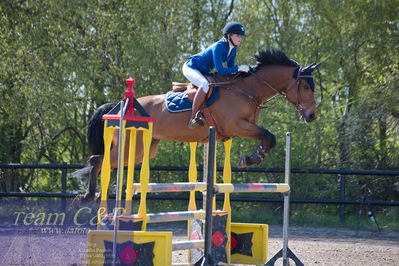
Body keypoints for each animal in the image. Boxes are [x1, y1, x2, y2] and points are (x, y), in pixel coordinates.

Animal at [71, 49, 322, 202]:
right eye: (306, 87)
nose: (311, 116)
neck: (247, 89)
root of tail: (116, 107)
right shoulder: (235, 125)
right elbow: (269, 135)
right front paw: (251, 158)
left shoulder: (242, 127)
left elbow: (268, 137)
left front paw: (254, 156)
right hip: (130, 145)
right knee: (97, 160)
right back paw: (88, 196)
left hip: (144, 149)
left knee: (101, 160)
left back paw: (92, 196)